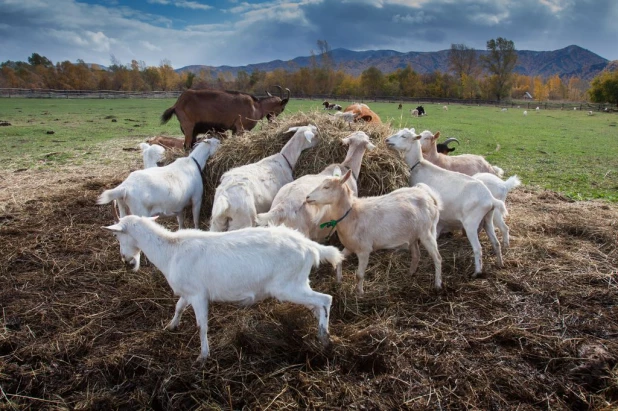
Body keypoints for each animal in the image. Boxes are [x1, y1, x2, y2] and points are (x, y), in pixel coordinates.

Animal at [102, 216, 342, 360]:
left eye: (116, 234)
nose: (126, 260)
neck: (171, 250)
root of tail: (310, 246)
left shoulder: (199, 294)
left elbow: (202, 326)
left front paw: (203, 356)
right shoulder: (189, 291)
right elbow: (178, 307)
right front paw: (171, 326)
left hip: (288, 286)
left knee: (326, 299)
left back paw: (324, 337)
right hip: (299, 282)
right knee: (317, 305)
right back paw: (320, 331)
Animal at [161, 87, 292, 150]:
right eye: (282, 108)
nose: (272, 122)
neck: (257, 106)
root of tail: (177, 104)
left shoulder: (234, 130)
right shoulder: (241, 128)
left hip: (192, 131)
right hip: (188, 126)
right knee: (186, 146)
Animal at [306, 171, 440, 296]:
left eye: (327, 187)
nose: (307, 197)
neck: (352, 214)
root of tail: (429, 197)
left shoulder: (364, 250)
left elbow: (359, 274)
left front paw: (359, 293)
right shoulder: (350, 246)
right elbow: (340, 258)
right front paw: (338, 281)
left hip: (426, 232)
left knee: (437, 257)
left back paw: (438, 285)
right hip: (413, 235)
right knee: (416, 255)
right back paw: (410, 274)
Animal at [384, 129, 506, 276]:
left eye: (404, 136)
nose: (387, 140)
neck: (419, 166)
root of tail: (490, 199)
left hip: (471, 223)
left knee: (478, 248)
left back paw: (476, 273)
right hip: (487, 219)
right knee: (496, 242)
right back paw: (500, 263)